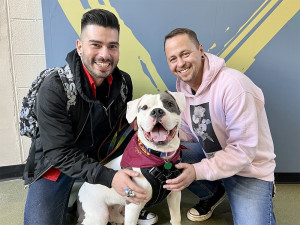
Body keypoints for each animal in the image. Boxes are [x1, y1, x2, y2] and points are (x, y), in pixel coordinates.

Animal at [76, 90, 186, 224]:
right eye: (144, 107)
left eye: (169, 104)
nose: (157, 111)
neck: (161, 157)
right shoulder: (134, 205)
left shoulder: (175, 194)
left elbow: (176, 218)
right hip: (98, 215)